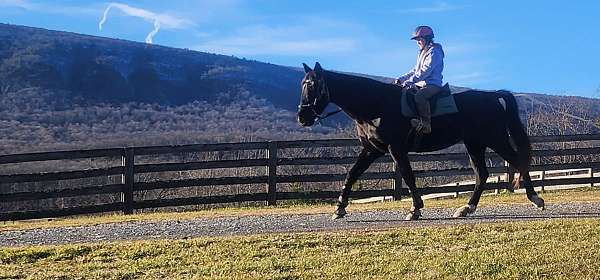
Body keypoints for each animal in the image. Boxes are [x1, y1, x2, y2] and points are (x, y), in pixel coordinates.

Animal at [298, 62, 548, 220]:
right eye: (303, 84)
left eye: (313, 86)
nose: (302, 117)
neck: (376, 106)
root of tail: (493, 96)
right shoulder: (372, 149)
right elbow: (352, 174)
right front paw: (339, 208)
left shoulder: (396, 148)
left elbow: (408, 176)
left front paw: (415, 209)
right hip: (475, 144)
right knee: (483, 175)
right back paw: (466, 208)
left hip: (495, 140)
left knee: (517, 161)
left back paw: (536, 199)